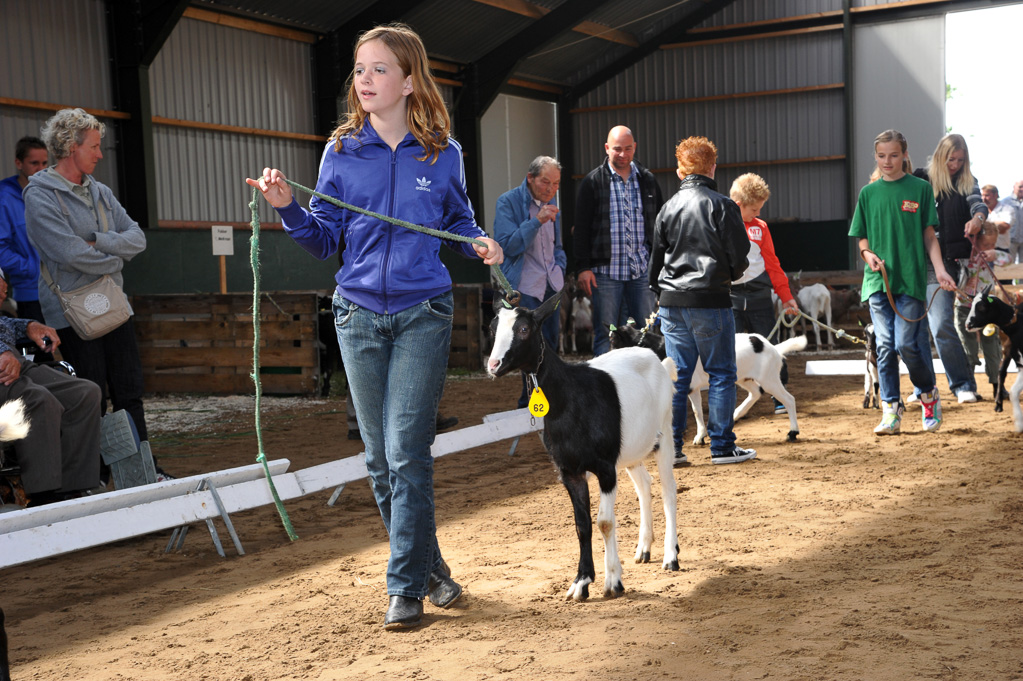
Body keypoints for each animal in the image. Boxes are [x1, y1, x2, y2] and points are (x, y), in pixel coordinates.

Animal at [486, 292, 679, 601]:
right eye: (493, 329)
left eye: (524, 329)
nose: (493, 365)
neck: (570, 397)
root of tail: (658, 361)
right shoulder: (570, 471)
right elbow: (582, 524)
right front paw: (582, 581)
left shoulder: (605, 467)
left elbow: (604, 522)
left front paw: (613, 582)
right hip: (632, 448)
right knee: (645, 485)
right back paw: (644, 548)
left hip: (665, 431)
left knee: (668, 491)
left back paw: (671, 556)